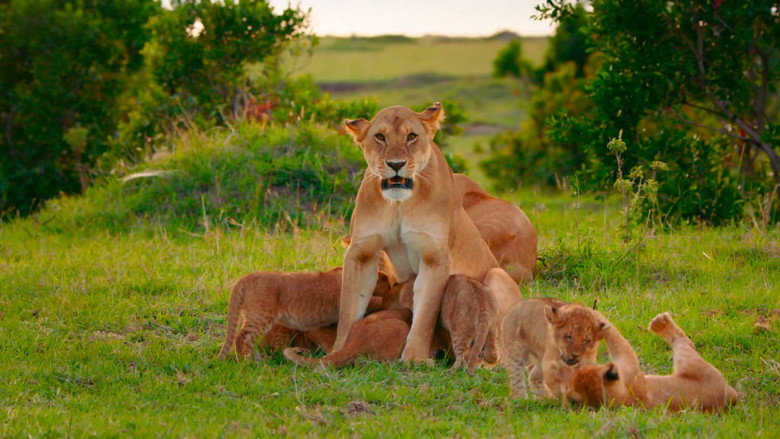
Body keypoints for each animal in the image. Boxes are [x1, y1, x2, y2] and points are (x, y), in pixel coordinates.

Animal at [217, 267, 392, 361]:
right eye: (387, 283)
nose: (392, 285)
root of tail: (245, 278)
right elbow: (376, 301)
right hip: (261, 314)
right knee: (242, 337)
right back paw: (249, 362)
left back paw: (257, 358)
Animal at [336, 102, 521, 362]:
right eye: (380, 137)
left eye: (411, 136)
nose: (396, 165)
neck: (399, 203)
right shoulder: (362, 253)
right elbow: (348, 311)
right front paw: (337, 351)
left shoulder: (434, 257)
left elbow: (425, 314)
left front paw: (414, 359)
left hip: (497, 275)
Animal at [570, 312, 739, 412]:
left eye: (583, 371)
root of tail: (731, 396)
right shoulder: (628, 366)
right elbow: (618, 341)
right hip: (691, 362)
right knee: (683, 341)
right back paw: (660, 322)